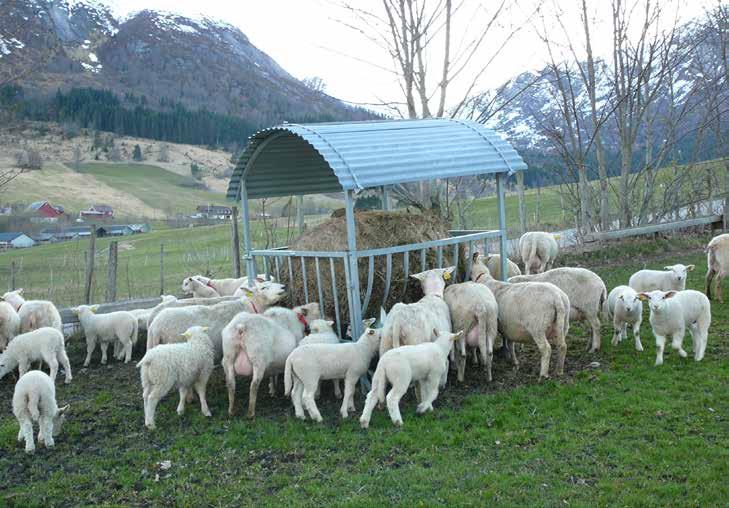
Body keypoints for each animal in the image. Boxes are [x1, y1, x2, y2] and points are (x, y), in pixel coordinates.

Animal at [466, 252, 568, 380]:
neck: (483, 278)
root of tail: (557, 298)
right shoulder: (509, 326)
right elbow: (510, 343)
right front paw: (514, 362)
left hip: (537, 327)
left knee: (546, 349)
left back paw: (543, 375)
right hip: (562, 325)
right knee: (562, 346)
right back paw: (559, 371)